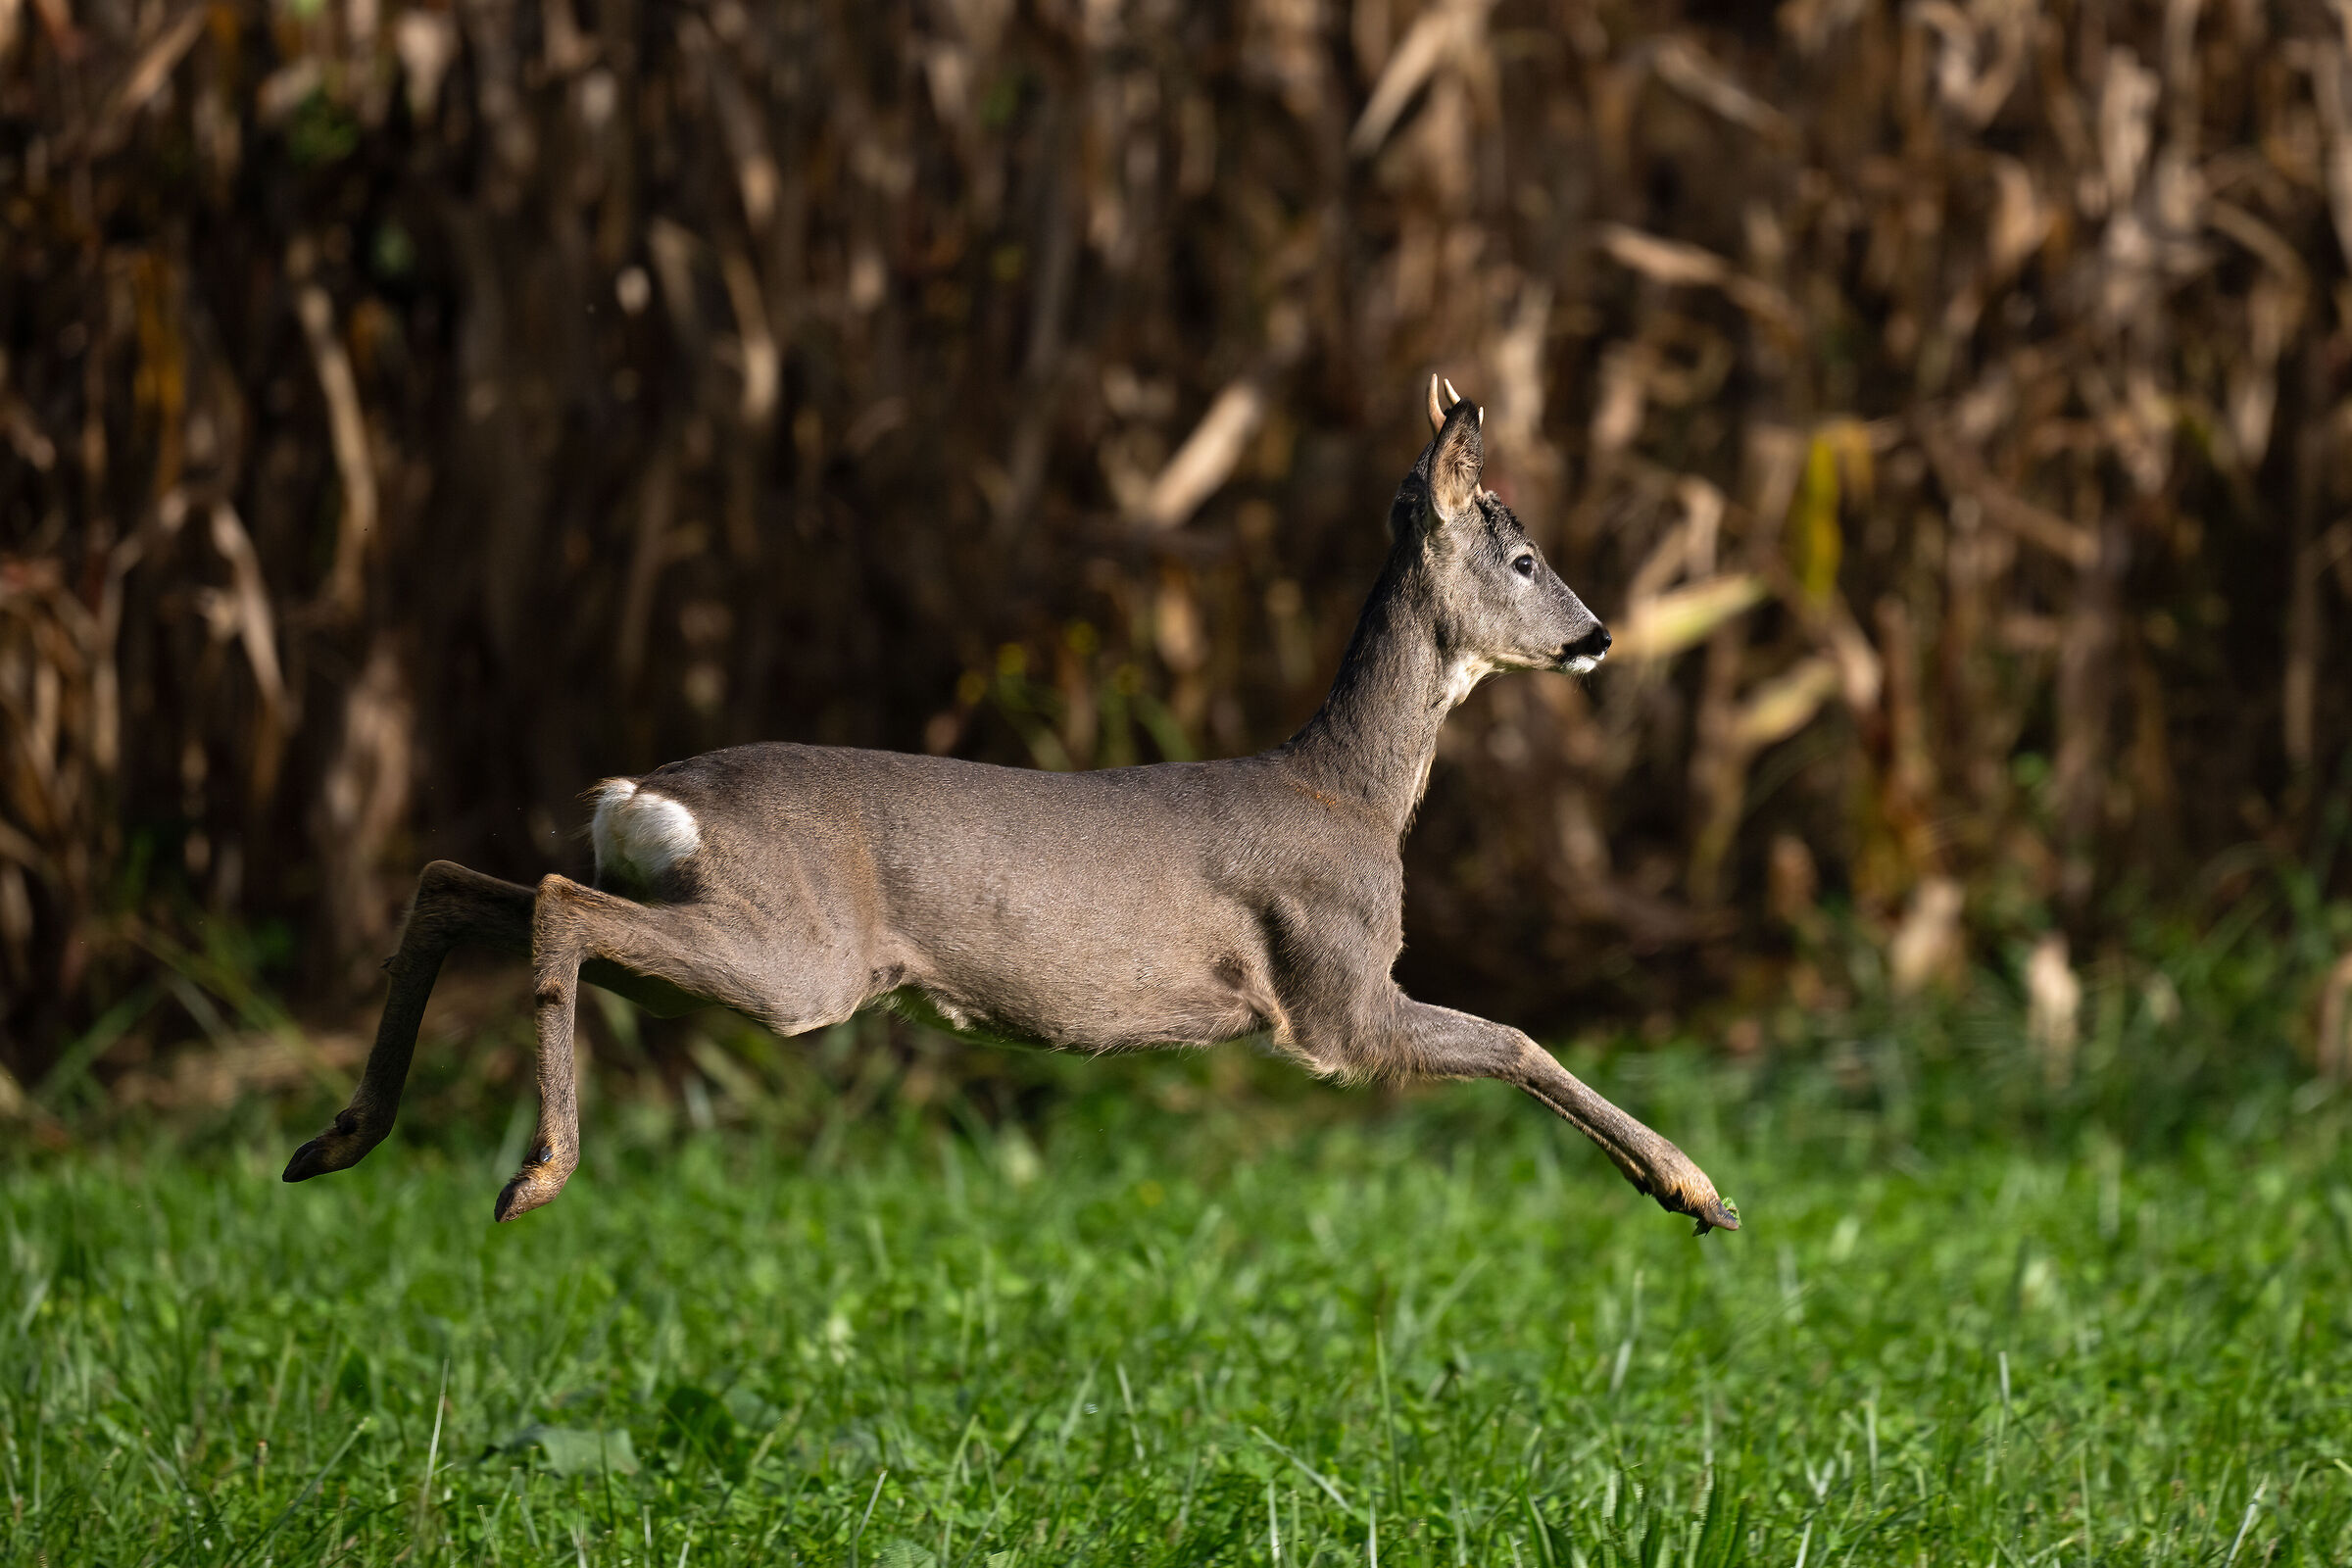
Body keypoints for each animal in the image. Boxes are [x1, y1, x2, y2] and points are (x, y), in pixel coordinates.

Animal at [284, 379, 1741, 1236]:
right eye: (1525, 556)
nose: (1601, 635)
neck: (1356, 794)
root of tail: (650, 797)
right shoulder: (1332, 996)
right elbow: (1513, 1037)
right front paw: (1695, 1186)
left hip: (727, 936)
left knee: (469, 883)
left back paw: (339, 1138)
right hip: (795, 953)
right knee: (551, 900)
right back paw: (532, 1171)